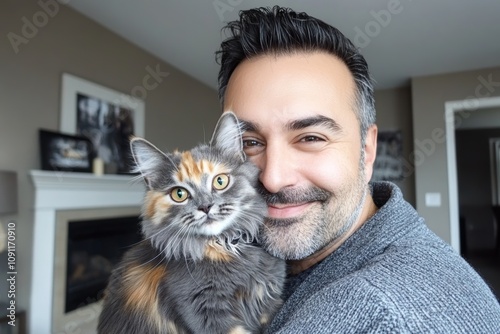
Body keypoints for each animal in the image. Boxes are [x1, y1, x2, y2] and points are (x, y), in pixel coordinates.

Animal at [97, 113, 286, 334]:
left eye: (220, 181)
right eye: (179, 194)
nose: (205, 206)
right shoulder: (204, 311)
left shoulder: (268, 301)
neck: (225, 245)